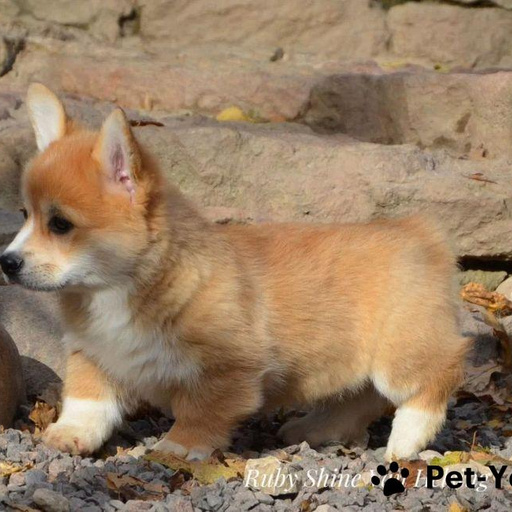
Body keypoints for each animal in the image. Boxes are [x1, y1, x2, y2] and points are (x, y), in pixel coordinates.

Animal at [0, 83, 469, 461]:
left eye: (60, 224)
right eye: (25, 215)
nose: (6, 262)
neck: (120, 289)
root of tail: (420, 231)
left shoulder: (226, 371)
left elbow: (202, 413)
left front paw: (177, 447)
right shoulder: (94, 354)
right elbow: (87, 400)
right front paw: (70, 433)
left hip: (399, 352)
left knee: (439, 371)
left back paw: (406, 440)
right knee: (358, 398)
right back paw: (318, 428)